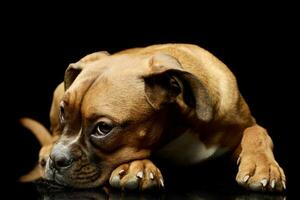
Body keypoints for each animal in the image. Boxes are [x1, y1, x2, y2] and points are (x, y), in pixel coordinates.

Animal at [25, 44, 286, 192]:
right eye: (63, 112)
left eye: (103, 128)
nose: (57, 159)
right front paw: (136, 166)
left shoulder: (240, 125)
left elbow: (257, 132)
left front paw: (263, 166)